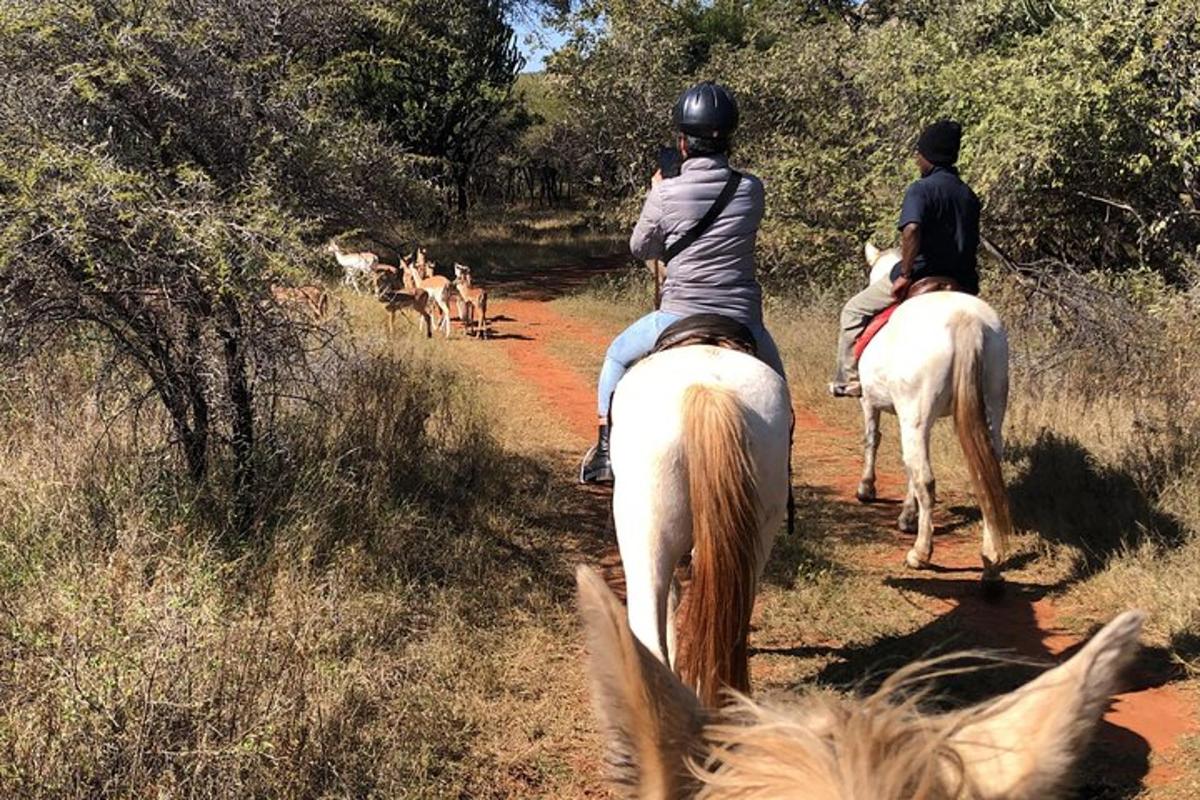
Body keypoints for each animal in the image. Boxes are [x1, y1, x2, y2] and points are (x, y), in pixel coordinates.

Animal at [854, 244, 1012, 582]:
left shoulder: (872, 404)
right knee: (987, 474)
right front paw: (906, 515)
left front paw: (868, 489)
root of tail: (966, 320)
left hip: (914, 416)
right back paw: (991, 563)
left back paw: (920, 554)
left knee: (925, 479)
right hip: (992, 406)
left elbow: (873, 440)